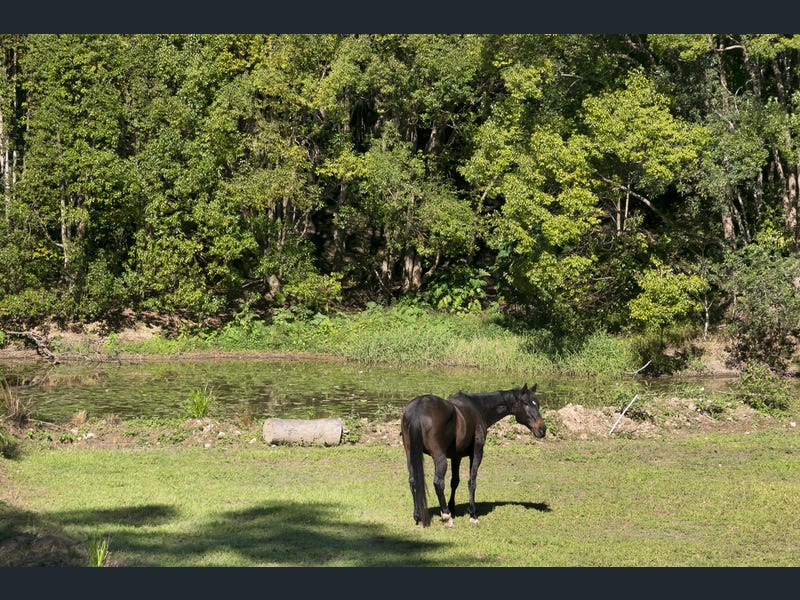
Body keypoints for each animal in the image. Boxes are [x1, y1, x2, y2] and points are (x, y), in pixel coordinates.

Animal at [400, 384, 546, 527]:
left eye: (537, 404)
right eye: (526, 403)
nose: (542, 429)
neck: (478, 408)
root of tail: (418, 408)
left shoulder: (456, 457)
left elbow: (455, 481)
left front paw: (452, 507)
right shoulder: (477, 452)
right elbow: (472, 481)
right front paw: (472, 514)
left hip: (410, 454)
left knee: (413, 480)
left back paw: (418, 515)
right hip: (439, 457)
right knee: (438, 483)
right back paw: (447, 517)